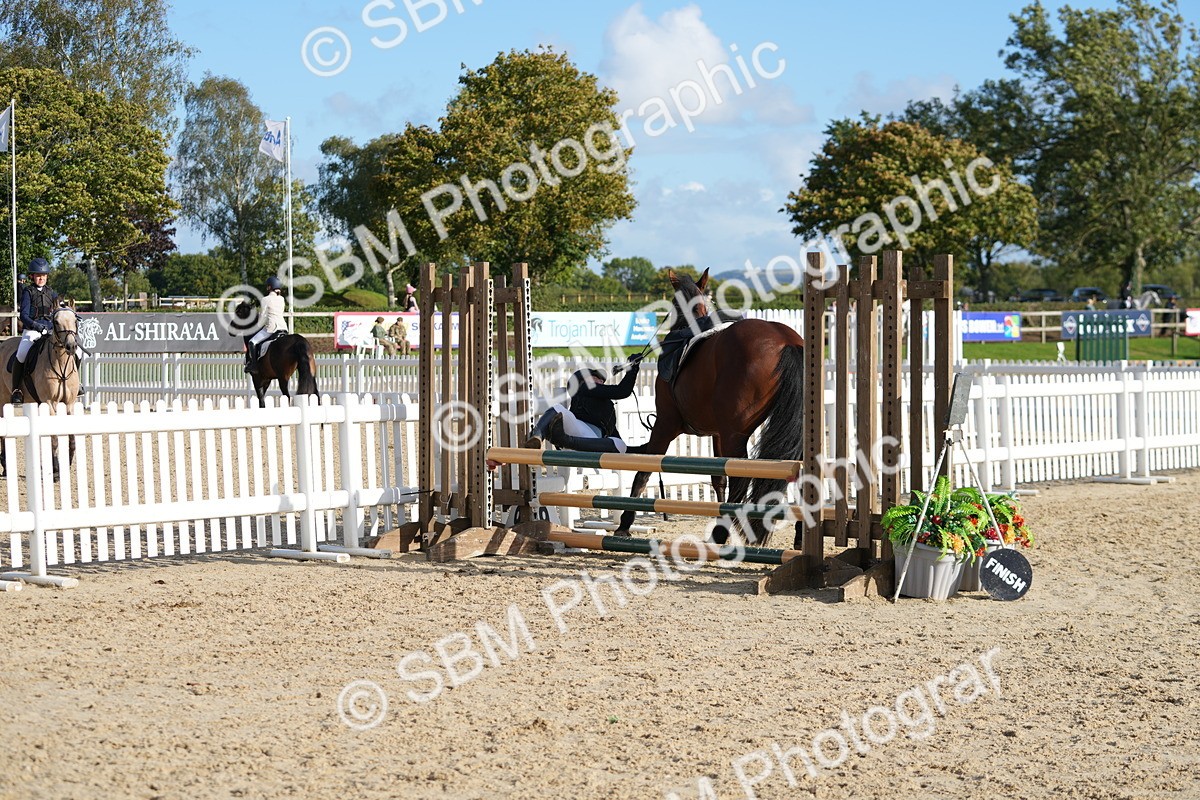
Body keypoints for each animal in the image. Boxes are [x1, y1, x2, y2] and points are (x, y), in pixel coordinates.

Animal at [0, 306, 83, 477]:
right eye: (56, 322)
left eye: (75, 320)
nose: (71, 346)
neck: (61, 364)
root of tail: (4, 343)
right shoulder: (50, 403)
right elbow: (54, 437)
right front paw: (56, 469)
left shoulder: (70, 403)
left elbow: (71, 436)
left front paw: (68, 463)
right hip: (3, 399)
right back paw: (5, 466)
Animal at [616, 270, 805, 544]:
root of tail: (787, 341)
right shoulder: (716, 433)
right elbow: (718, 478)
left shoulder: (665, 424)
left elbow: (643, 472)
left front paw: (625, 522)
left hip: (734, 434)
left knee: (742, 477)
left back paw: (721, 533)